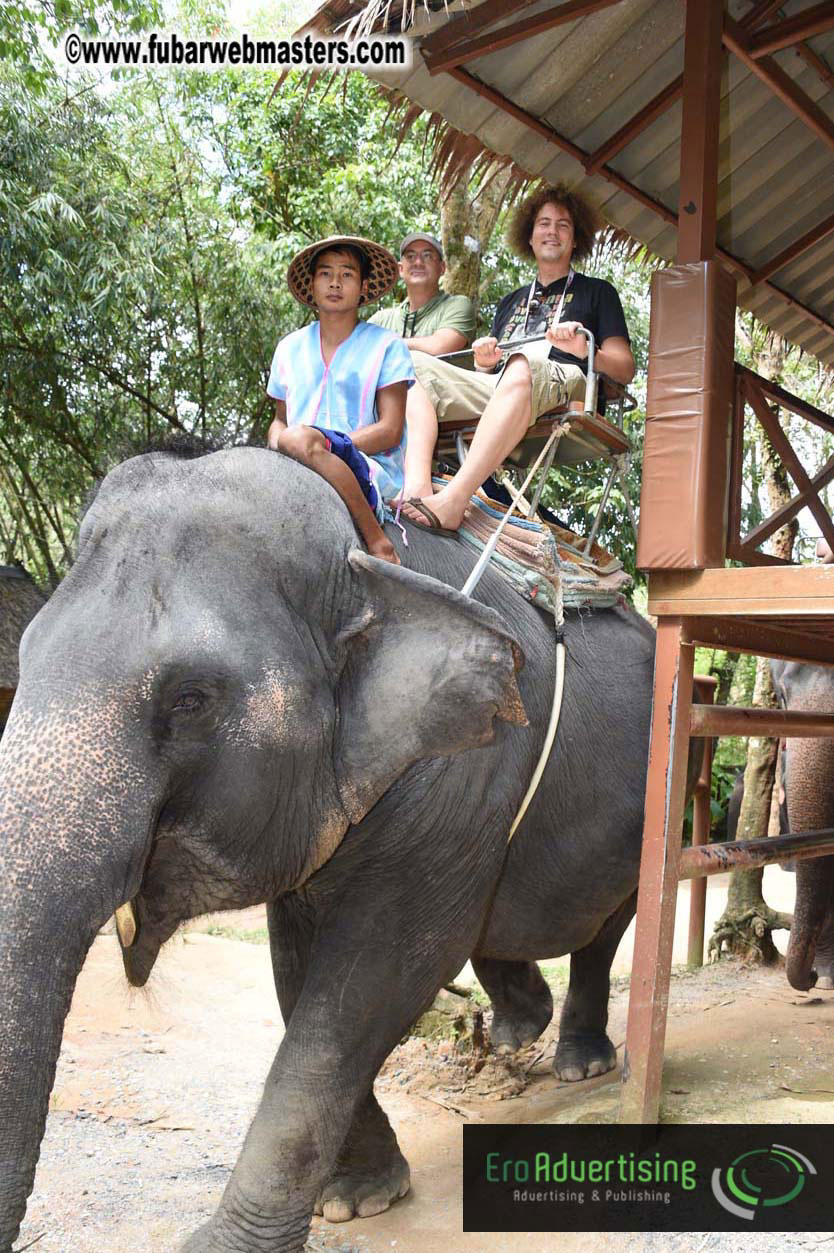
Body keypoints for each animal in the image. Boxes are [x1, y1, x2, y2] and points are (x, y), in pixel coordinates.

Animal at [0, 445, 659, 1253]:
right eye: (24, 657)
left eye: (191, 698)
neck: (361, 560)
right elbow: (297, 969)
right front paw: (356, 1199)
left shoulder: (465, 766)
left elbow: (377, 969)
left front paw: (233, 1242)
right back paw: (517, 1030)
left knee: (604, 928)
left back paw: (579, 1066)